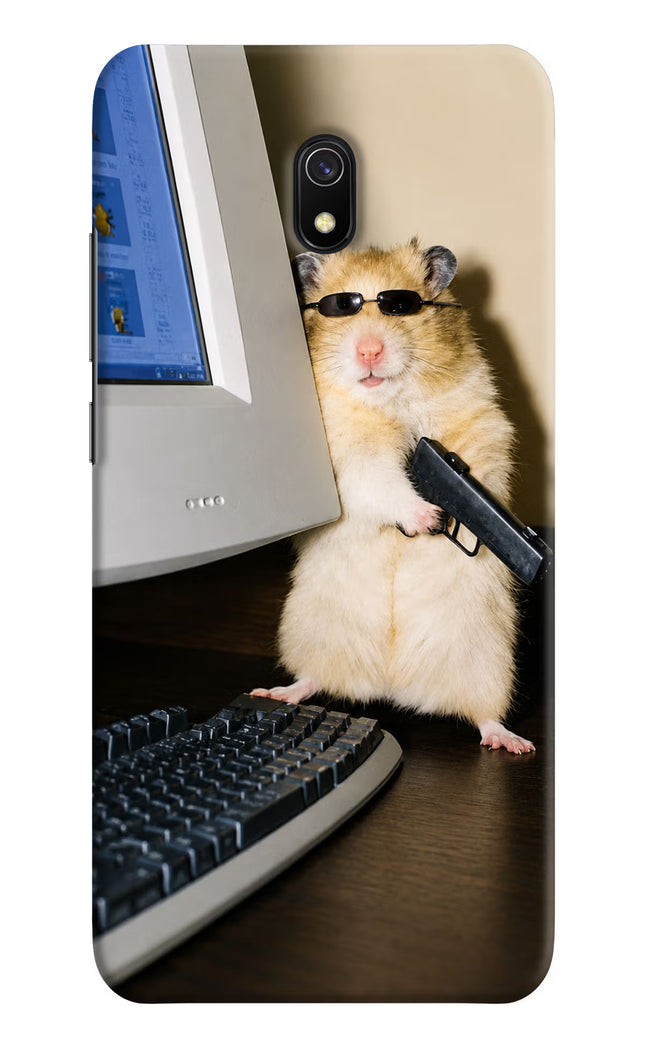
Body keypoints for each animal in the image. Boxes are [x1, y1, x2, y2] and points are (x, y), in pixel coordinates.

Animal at [252, 239, 534, 754]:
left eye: (400, 306)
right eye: (339, 308)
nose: (369, 350)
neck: (389, 400)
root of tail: (392, 686)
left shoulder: (481, 423)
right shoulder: (348, 457)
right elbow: (380, 481)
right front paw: (428, 517)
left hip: (487, 660)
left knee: (484, 714)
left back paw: (512, 742)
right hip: (311, 632)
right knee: (313, 678)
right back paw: (277, 692)